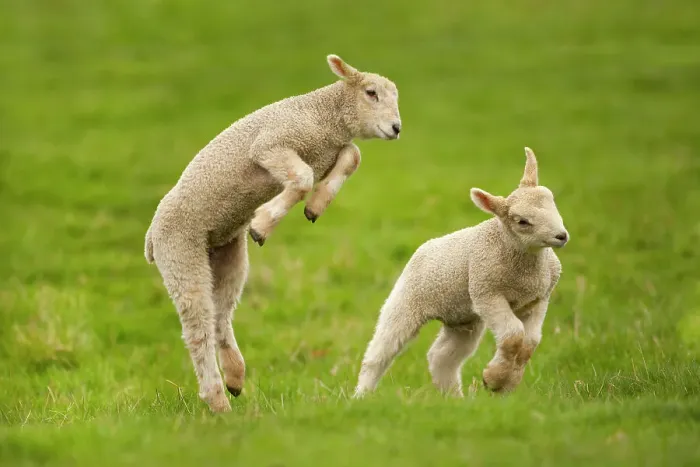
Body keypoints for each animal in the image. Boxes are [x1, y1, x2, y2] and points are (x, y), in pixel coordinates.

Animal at [144, 54, 402, 412]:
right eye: (371, 93)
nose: (396, 128)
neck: (323, 117)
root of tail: (151, 237)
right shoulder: (270, 145)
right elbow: (305, 177)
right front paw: (263, 223)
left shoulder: (328, 150)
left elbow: (352, 156)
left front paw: (315, 207)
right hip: (180, 252)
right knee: (198, 329)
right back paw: (217, 400)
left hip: (226, 253)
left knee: (221, 315)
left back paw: (235, 378)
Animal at [353, 148, 568, 398]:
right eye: (522, 221)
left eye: (552, 201)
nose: (561, 236)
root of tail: (424, 247)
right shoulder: (487, 294)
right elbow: (513, 336)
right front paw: (494, 379)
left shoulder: (539, 298)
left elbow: (529, 342)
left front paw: (505, 383)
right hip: (405, 302)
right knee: (380, 353)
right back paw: (361, 395)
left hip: (463, 319)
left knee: (442, 357)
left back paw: (453, 398)